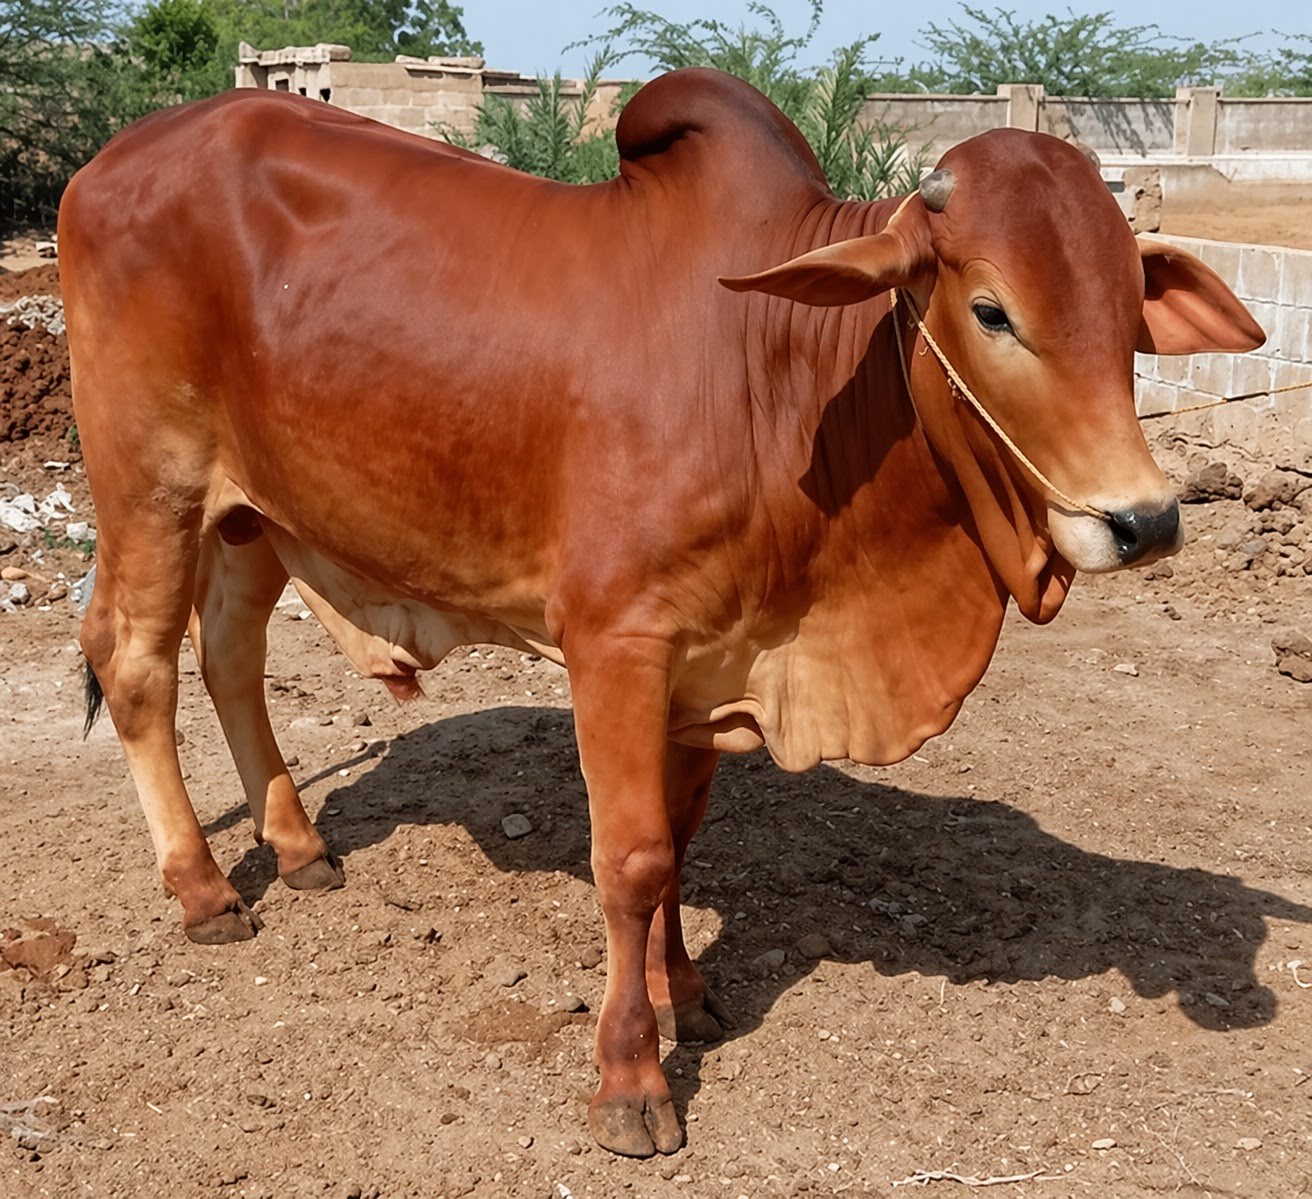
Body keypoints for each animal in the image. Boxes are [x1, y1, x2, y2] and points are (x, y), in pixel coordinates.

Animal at [58, 67, 1264, 1157]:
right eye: (990, 311)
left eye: (1130, 311)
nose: (1144, 519)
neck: (780, 376)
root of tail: (110, 160)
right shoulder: (617, 644)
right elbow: (631, 858)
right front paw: (631, 1076)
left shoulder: (708, 658)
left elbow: (680, 846)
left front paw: (686, 988)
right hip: (150, 484)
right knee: (135, 662)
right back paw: (204, 890)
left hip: (253, 514)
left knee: (230, 654)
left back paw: (300, 842)